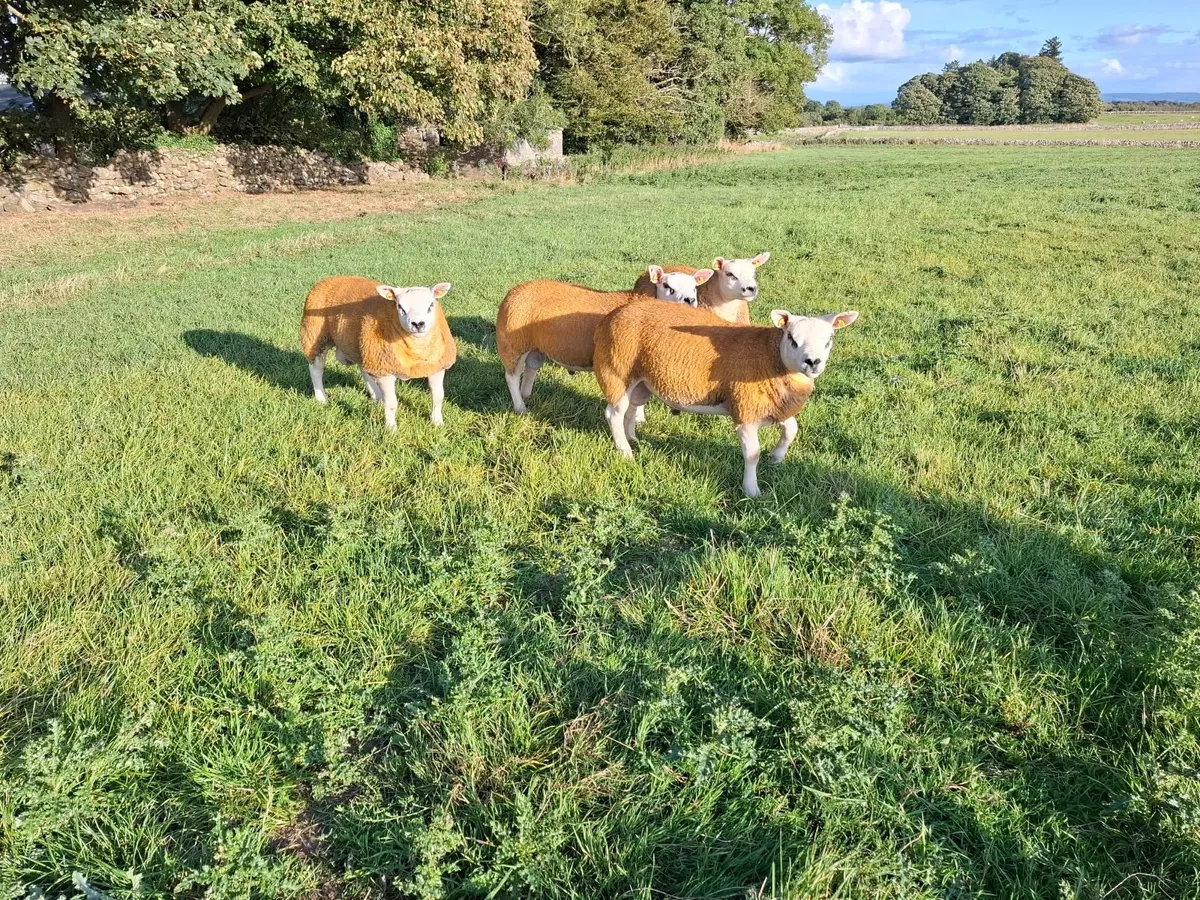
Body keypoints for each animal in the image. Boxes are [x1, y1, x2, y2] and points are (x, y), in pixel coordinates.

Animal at [300, 275, 457, 428]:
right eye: (400, 307)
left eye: (431, 305)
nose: (418, 324)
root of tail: (330, 279)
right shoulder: (385, 371)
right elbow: (391, 404)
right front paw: (391, 429)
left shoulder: (437, 366)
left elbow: (438, 397)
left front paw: (438, 423)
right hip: (315, 337)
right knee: (316, 369)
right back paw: (322, 399)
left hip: (363, 345)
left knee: (363, 368)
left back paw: (376, 396)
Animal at [494, 266, 711, 415]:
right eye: (667, 286)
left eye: (694, 287)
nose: (690, 300)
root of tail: (513, 291)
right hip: (512, 343)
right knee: (511, 376)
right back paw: (520, 407)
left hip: (534, 345)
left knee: (531, 367)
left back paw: (526, 395)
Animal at [593, 300, 858, 497]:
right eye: (792, 338)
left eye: (829, 340)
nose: (813, 362)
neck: (771, 356)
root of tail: (615, 314)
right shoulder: (746, 409)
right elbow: (752, 454)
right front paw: (751, 490)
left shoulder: (774, 405)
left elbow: (792, 429)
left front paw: (776, 457)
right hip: (616, 369)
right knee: (614, 413)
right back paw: (625, 451)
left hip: (641, 380)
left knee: (631, 408)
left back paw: (632, 438)